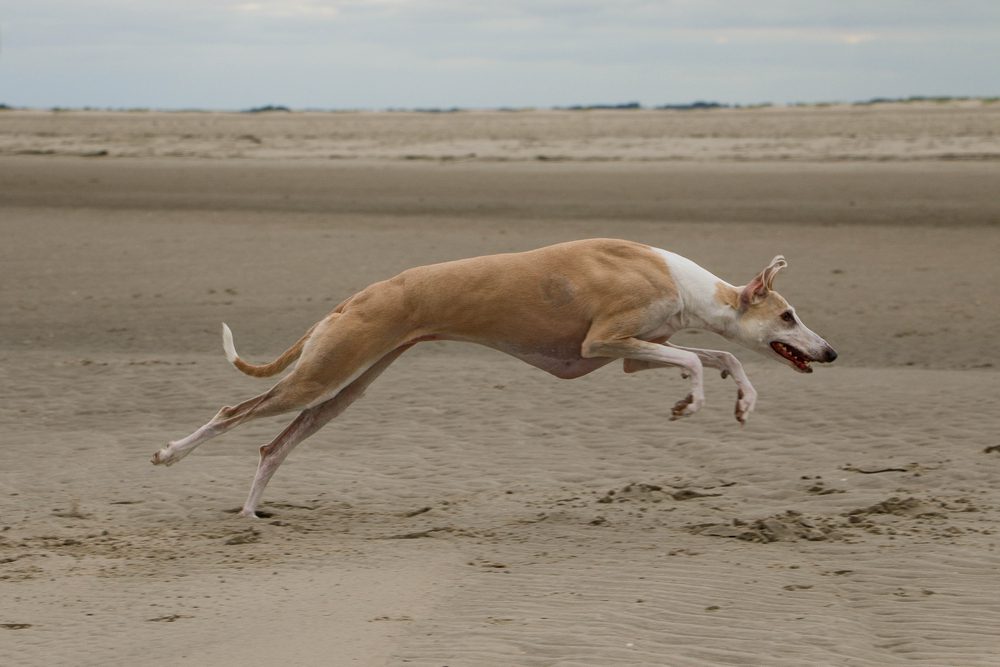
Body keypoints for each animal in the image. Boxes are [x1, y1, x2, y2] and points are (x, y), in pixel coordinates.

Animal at [150, 237, 836, 520]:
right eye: (789, 315)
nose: (830, 353)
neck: (679, 279)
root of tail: (354, 299)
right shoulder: (604, 340)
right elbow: (698, 361)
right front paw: (689, 405)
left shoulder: (635, 353)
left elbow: (724, 357)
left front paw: (743, 402)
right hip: (323, 374)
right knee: (233, 413)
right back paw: (168, 454)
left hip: (344, 389)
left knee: (274, 445)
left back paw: (249, 511)